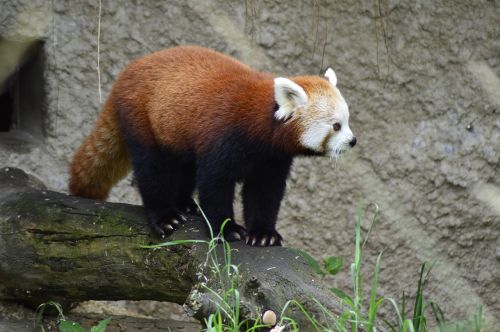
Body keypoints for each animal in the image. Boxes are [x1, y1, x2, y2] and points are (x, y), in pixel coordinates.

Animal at [69, 45, 356, 245]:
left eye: (348, 121)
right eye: (336, 126)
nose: (353, 141)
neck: (260, 127)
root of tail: (127, 72)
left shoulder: (271, 159)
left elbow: (265, 193)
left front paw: (263, 234)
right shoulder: (224, 137)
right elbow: (214, 184)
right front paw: (227, 229)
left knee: (183, 167)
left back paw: (185, 203)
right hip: (143, 119)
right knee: (153, 170)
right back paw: (166, 216)